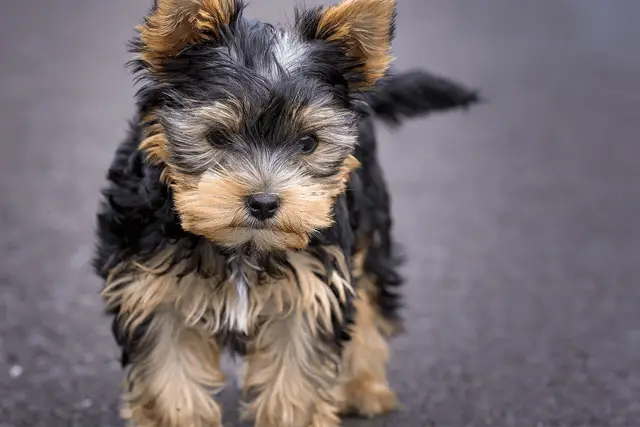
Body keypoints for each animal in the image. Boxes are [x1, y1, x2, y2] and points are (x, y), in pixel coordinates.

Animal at [92, 1, 478, 426]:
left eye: (309, 143)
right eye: (217, 137)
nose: (263, 202)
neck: (241, 246)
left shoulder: (312, 291)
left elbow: (296, 380)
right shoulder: (154, 291)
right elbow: (169, 380)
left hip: (371, 223)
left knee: (370, 299)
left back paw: (364, 387)